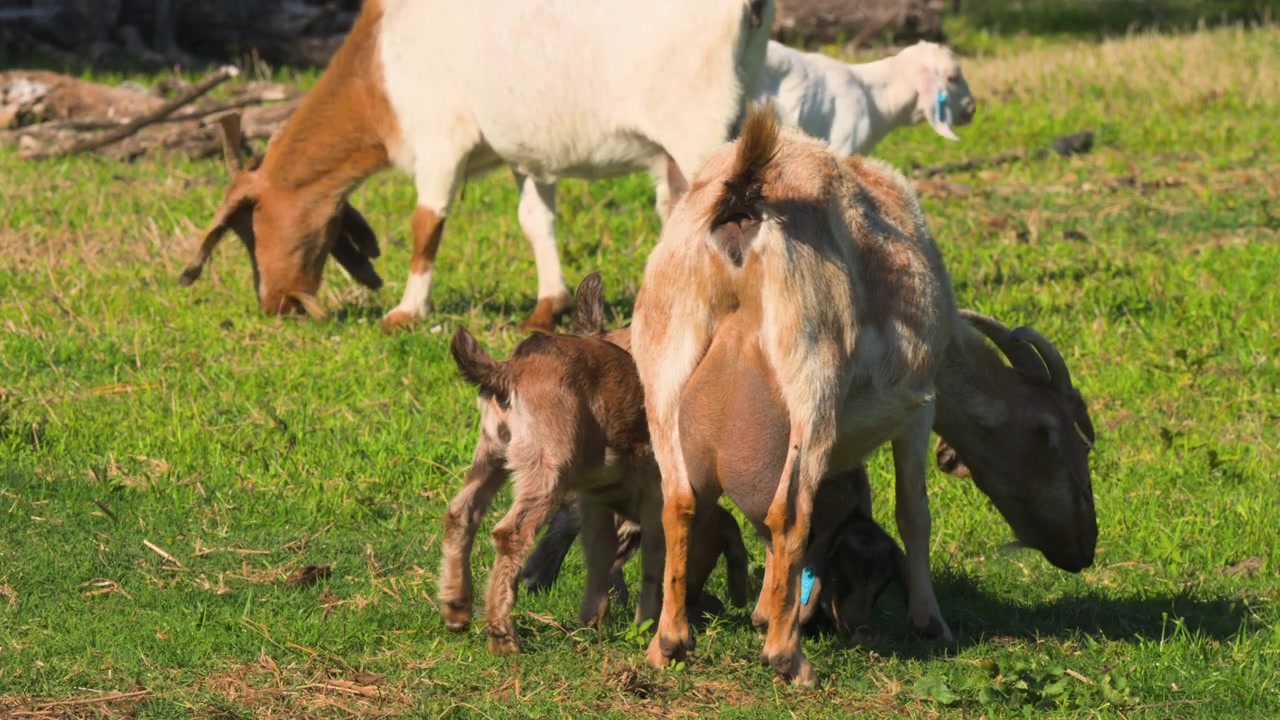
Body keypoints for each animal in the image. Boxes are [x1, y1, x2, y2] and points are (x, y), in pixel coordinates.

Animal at [178, 0, 775, 332]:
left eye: (252, 230)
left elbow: (427, 223)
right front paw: (547, 306)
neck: (381, 69)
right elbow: (535, 221)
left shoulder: (441, 136)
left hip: (699, 126)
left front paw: (405, 312)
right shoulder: (524, 149)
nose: (275, 305)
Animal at [439, 274, 749, 654]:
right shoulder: (650, 502)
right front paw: (646, 623)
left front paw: (598, 620)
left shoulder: (602, 501)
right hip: (546, 469)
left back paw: (457, 608)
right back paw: (502, 633)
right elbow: (650, 560)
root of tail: (507, 372)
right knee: (510, 534)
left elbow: (603, 554)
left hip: (491, 456)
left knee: (461, 512)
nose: (700, 604)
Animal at [631, 106, 1095, 684]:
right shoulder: (919, 406)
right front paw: (929, 622)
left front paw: (771, 609)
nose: (1086, 549)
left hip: (664, 367)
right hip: (812, 377)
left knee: (680, 501)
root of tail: (744, 192)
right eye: (1067, 444)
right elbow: (913, 512)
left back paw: (670, 642)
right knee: (790, 510)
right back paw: (787, 657)